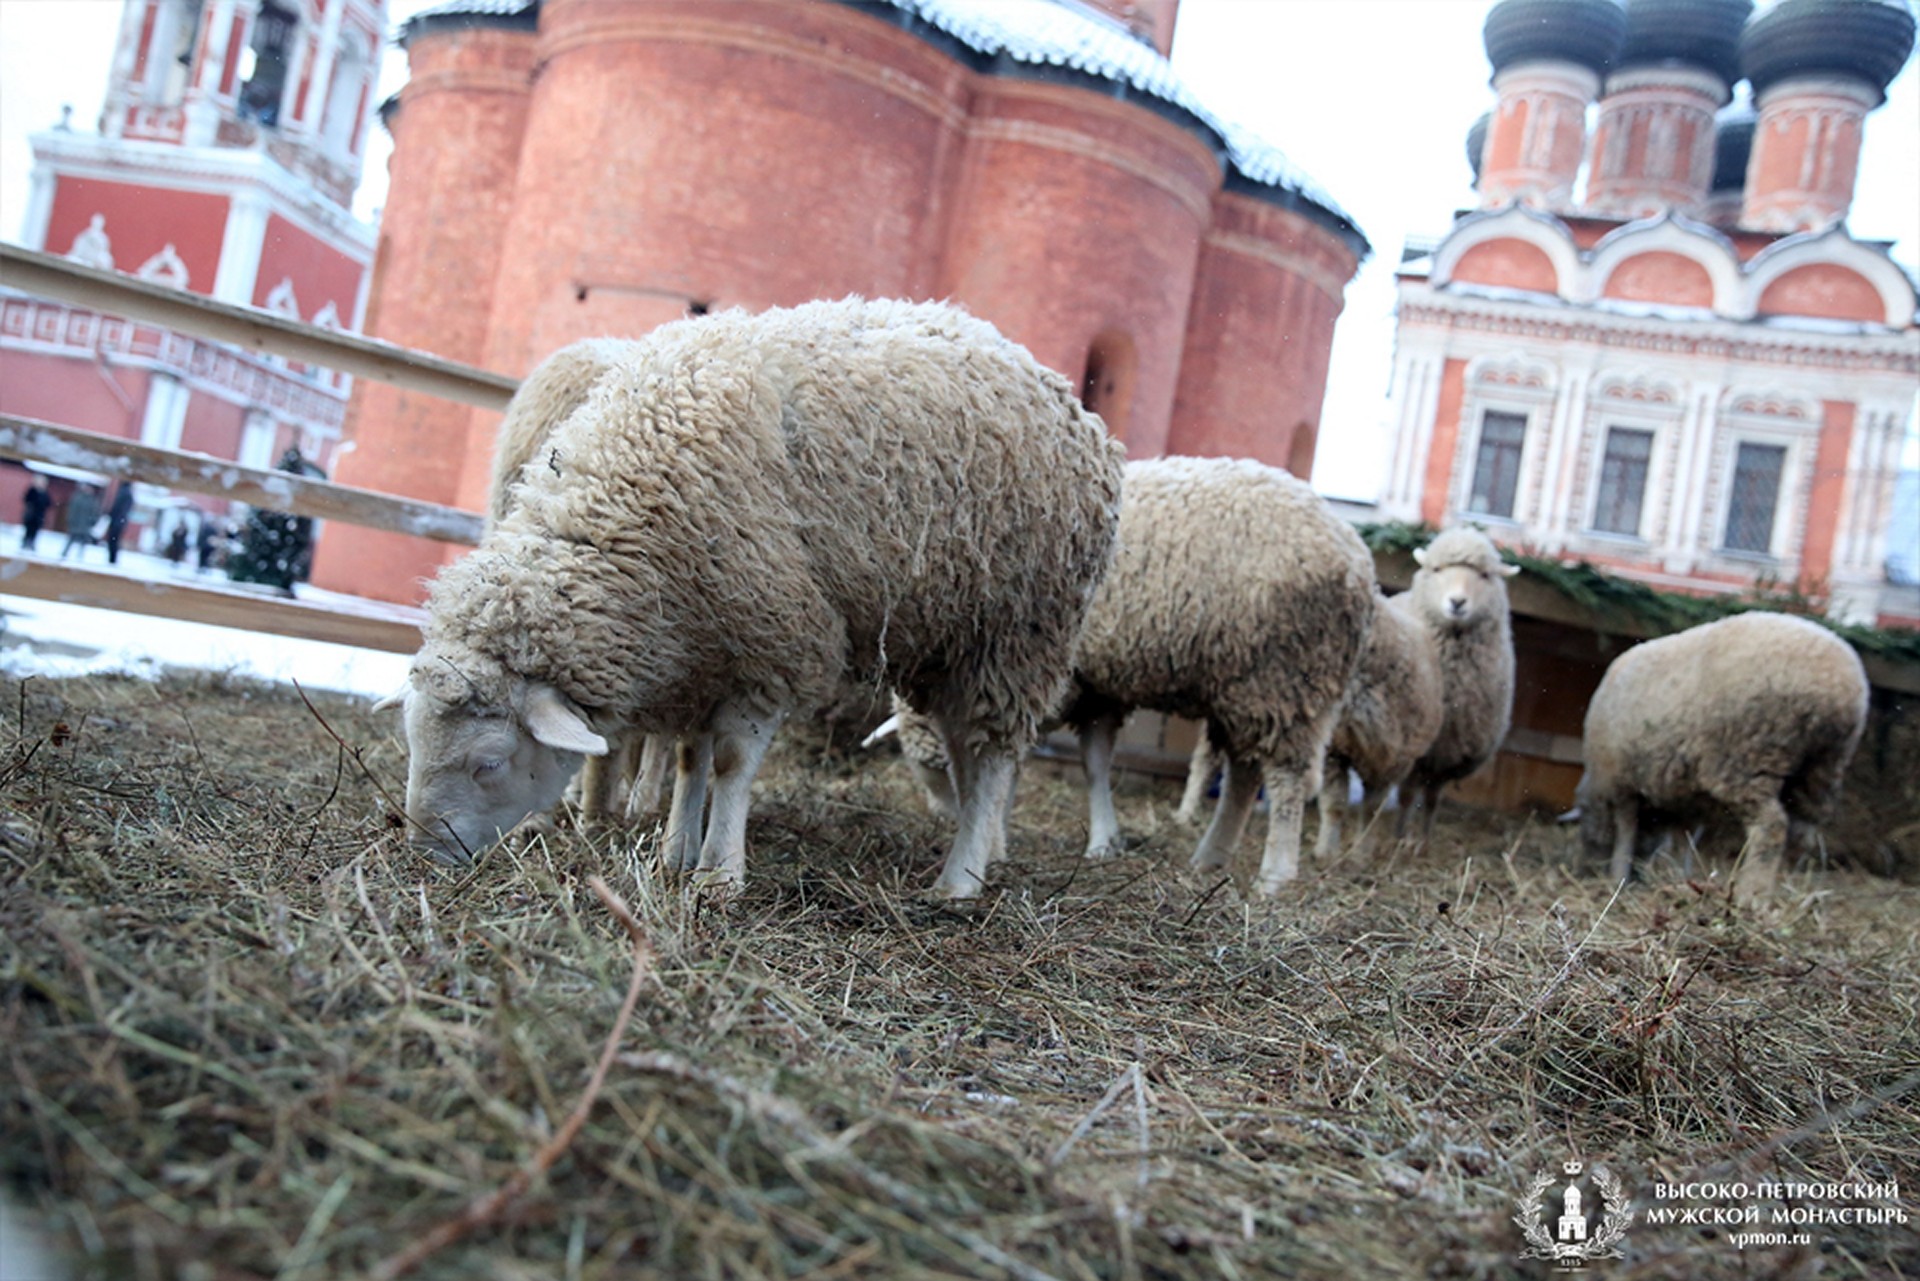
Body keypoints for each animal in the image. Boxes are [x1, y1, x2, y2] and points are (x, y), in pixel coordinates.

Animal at [389, 301, 1121, 902]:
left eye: (488, 761)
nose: (423, 854)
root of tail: (1075, 406)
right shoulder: (700, 645)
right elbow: (691, 757)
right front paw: (673, 855)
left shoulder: (771, 636)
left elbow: (732, 763)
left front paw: (718, 874)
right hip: (951, 638)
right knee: (967, 747)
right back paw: (986, 848)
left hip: (1019, 631)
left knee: (993, 752)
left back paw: (960, 880)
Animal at [1067, 459, 1382, 891]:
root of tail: (1357, 559)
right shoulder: (1092, 690)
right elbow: (1093, 761)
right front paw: (1103, 841)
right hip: (1246, 690)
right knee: (1244, 775)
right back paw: (1211, 857)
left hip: (1283, 682)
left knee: (1287, 778)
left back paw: (1274, 876)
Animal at [1390, 526, 1520, 845]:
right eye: (1437, 569)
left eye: (1484, 575)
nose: (1457, 602)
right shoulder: (1419, 750)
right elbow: (1407, 796)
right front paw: (1398, 838)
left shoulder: (1450, 754)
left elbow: (1433, 800)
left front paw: (1424, 842)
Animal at [1566, 610, 1866, 902]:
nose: (1582, 871)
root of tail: (1839, 687)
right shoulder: (1682, 799)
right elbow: (1678, 842)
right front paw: (1673, 878)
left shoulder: (1623, 784)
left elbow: (1626, 834)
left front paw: (1617, 877)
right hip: (1821, 769)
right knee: (1800, 834)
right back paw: (1779, 895)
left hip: (1747, 758)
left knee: (1771, 827)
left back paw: (1751, 897)